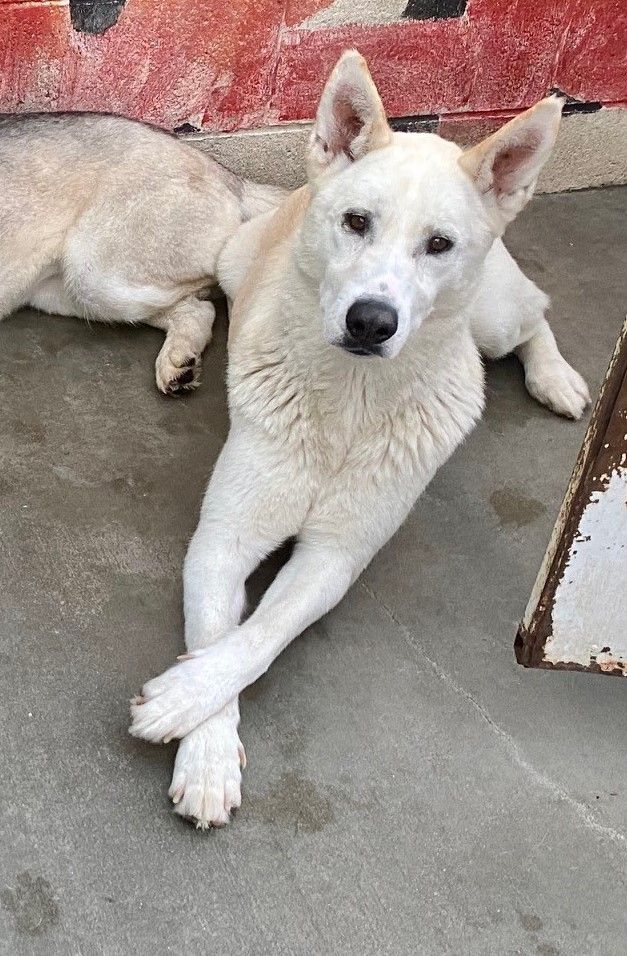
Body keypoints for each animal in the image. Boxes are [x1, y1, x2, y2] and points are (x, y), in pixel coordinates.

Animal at [130, 50, 592, 820]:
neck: (348, 403)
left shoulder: (334, 557)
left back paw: (557, 378)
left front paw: (181, 699)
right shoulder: (223, 538)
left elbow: (258, 638)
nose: (371, 322)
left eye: (438, 244)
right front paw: (208, 754)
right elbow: (220, 631)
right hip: (231, 261)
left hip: (492, 317)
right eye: (355, 221)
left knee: (536, 316)